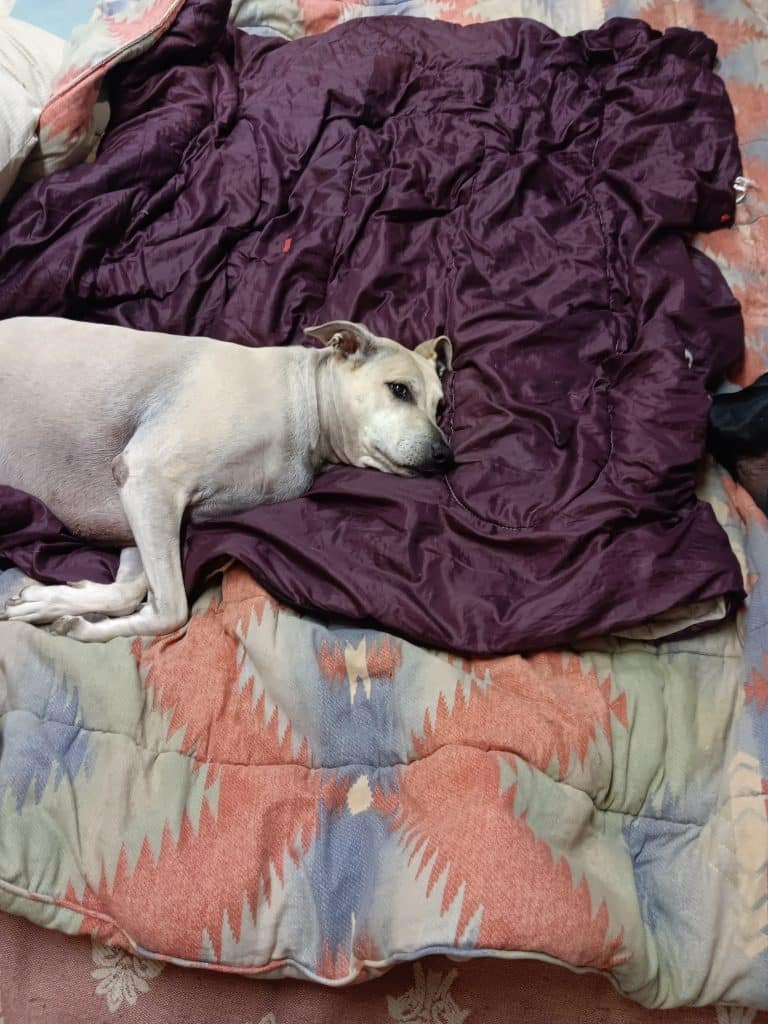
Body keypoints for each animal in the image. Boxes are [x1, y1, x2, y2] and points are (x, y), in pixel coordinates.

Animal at [0, 317, 453, 642]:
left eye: (440, 407)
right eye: (399, 390)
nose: (445, 456)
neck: (305, 402)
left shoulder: (134, 513)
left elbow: (130, 591)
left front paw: (49, 603)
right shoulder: (149, 478)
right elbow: (172, 611)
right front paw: (85, 627)